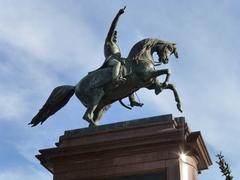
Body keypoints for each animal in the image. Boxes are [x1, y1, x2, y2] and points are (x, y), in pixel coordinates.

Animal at [30, 38, 183, 126]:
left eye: (171, 51)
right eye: (168, 48)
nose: (165, 60)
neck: (140, 58)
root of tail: (75, 86)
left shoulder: (148, 83)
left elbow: (173, 85)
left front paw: (179, 105)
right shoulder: (146, 76)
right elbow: (168, 72)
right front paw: (162, 86)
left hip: (103, 104)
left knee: (91, 117)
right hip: (96, 96)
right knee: (87, 116)